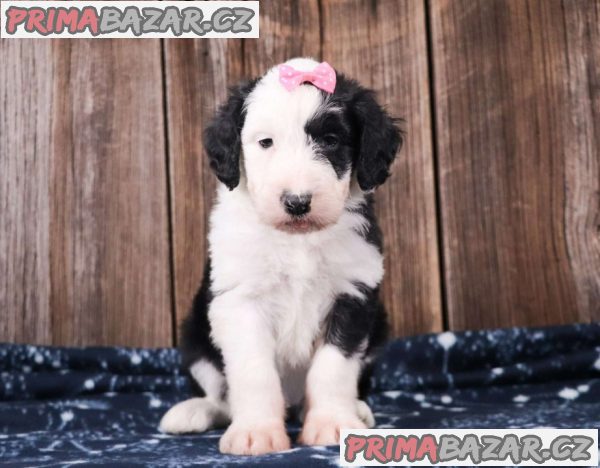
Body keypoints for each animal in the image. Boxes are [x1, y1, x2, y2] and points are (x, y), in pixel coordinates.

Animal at [159, 56, 404, 456]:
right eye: (265, 142)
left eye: (331, 141)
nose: (297, 202)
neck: (296, 241)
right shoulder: (239, 299)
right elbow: (253, 371)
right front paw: (255, 432)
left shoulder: (352, 295)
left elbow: (333, 367)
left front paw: (333, 423)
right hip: (194, 334)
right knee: (218, 393)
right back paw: (192, 412)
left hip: (379, 326)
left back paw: (357, 409)